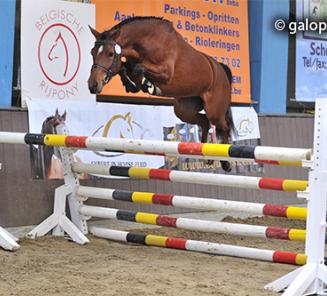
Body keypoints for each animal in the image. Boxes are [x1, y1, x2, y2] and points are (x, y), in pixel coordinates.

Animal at [88, 16, 234, 171]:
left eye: (110, 53)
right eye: (92, 52)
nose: (93, 85)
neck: (147, 43)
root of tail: (220, 68)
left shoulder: (166, 72)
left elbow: (137, 68)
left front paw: (148, 85)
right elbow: (125, 67)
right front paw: (132, 86)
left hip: (214, 111)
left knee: (224, 126)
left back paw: (226, 163)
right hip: (183, 110)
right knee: (205, 122)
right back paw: (207, 157)